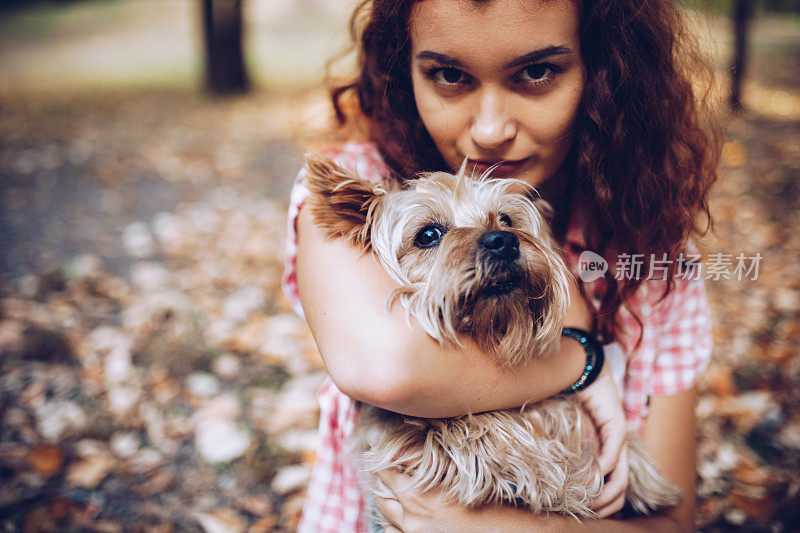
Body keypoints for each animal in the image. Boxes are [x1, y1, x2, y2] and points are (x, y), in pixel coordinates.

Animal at [304, 156, 680, 524]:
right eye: (427, 235)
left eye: (506, 218)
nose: (503, 240)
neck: (492, 332)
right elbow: (456, 424)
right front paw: (536, 470)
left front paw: (644, 478)